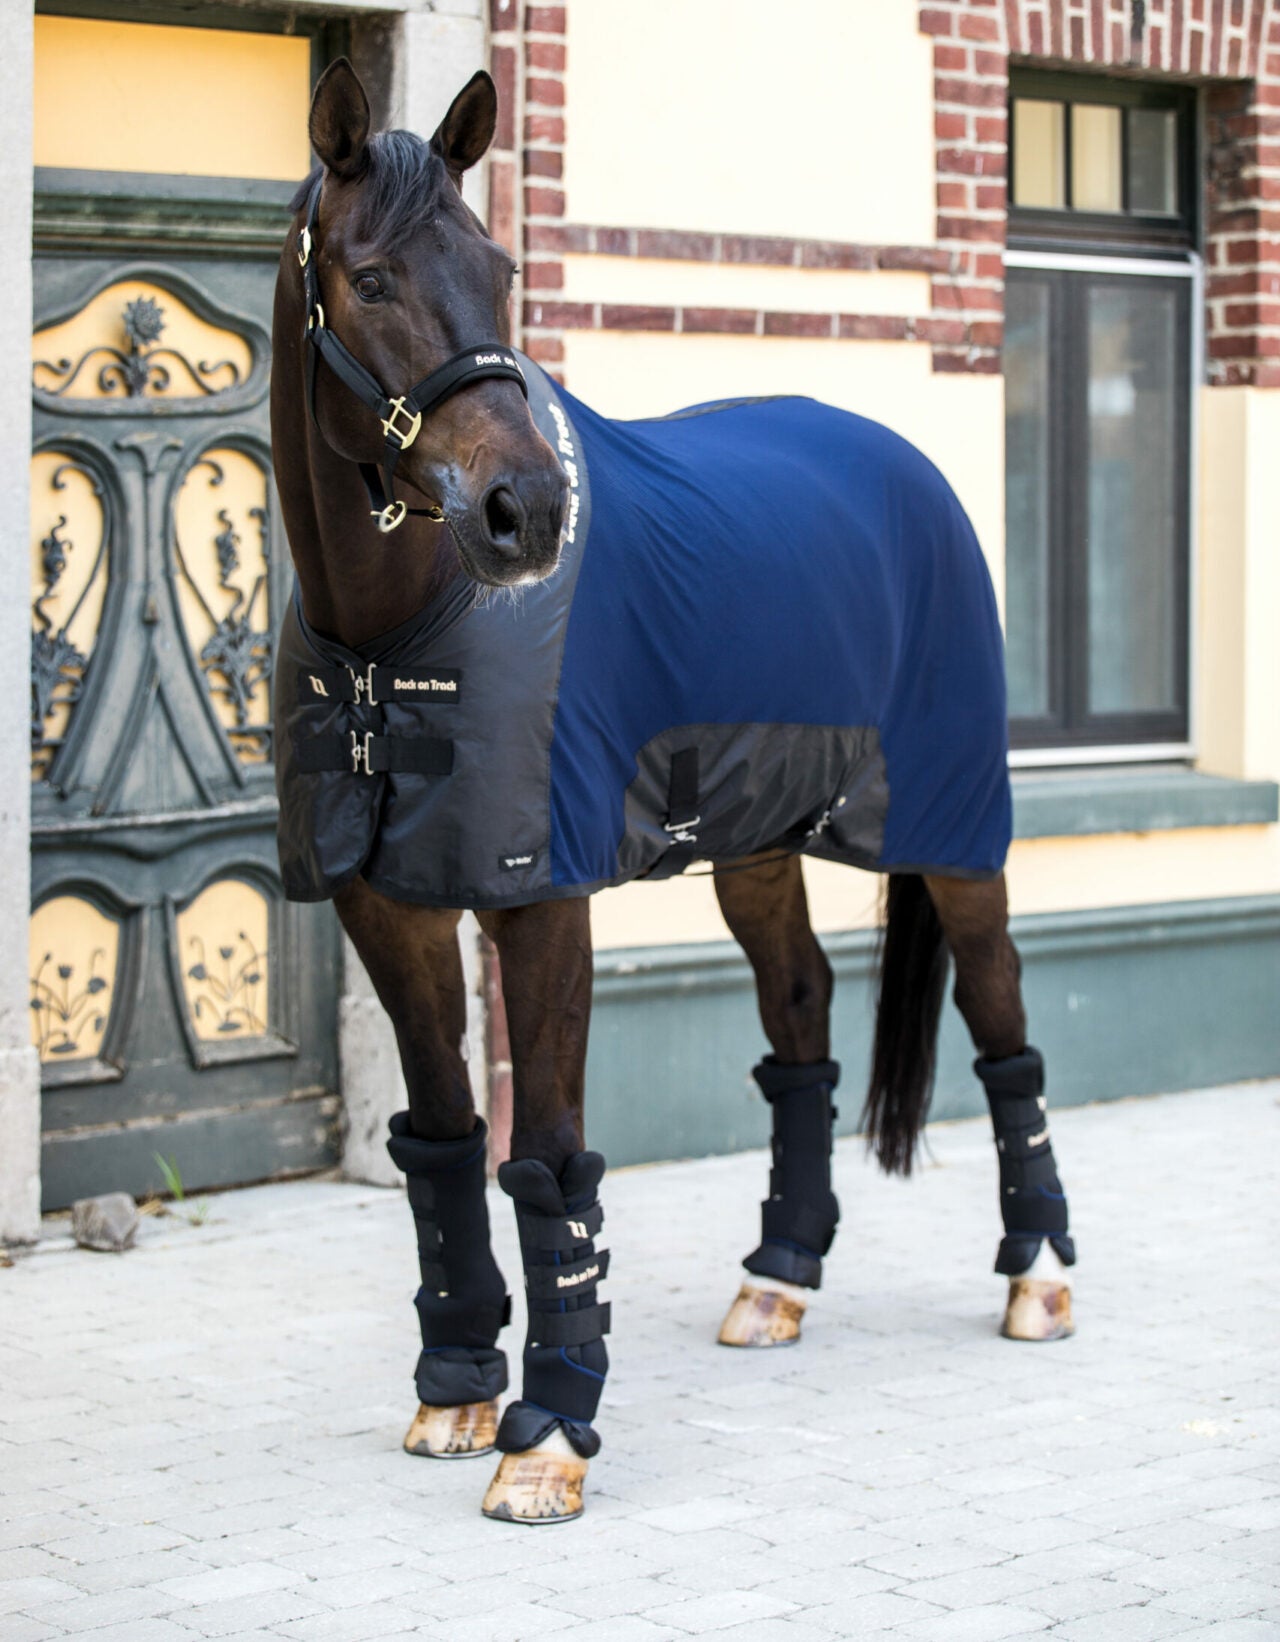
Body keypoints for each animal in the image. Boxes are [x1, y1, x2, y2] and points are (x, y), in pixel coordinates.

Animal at [270, 59, 1076, 1525]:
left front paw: (546, 1430)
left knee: (1004, 1023)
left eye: (498, 266)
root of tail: (914, 468)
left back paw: (1037, 1272)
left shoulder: (539, 900)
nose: (523, 510)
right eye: (366, 276)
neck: (394, 629)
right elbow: (440, 1139)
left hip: (952, 834)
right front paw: (455, 1383)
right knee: (800, 1013)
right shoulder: (383, 902)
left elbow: (548, 1158)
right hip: (754, 837)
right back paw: (778, 1275)